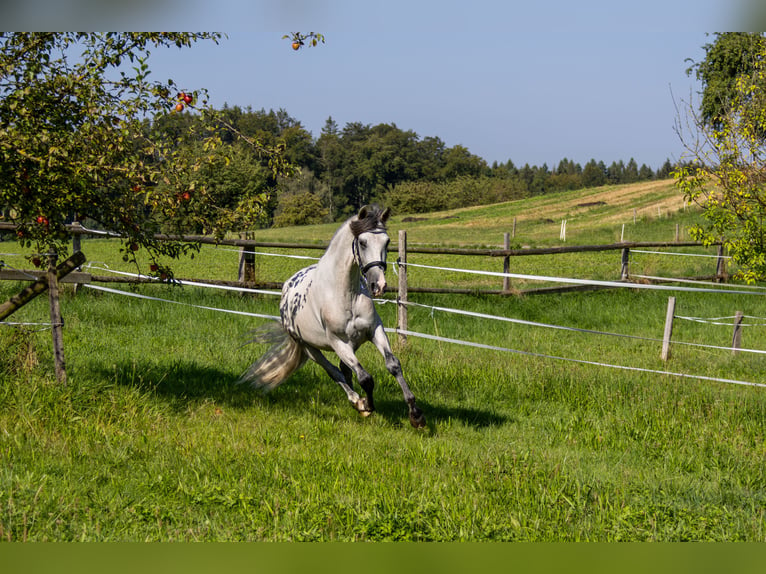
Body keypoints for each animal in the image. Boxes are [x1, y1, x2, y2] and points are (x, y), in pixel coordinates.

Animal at [240, 206, 426, 428]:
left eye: (387, 241)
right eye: (362, 242)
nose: (378, 285)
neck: (346, 293)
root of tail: (286, 289)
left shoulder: (375, 330)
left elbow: (393, 365)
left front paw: (416, 414)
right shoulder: (338, 341)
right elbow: (365, 378)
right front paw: (367, 405)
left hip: (352, 343)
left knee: (345, 370)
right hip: (309, 348)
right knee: (334, 372)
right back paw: (357, 401)